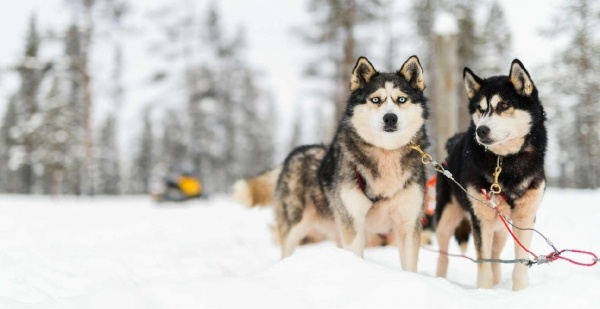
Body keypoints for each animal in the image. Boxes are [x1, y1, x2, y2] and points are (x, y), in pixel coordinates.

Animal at [274, 55, 428, 270]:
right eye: (376, 99)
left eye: (402, 99)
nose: (390, 118)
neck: (386, 154)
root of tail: (298, 151)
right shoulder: (353, 222)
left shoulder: (408, 224)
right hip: (295, 226)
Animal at [434, 59, 548, 290]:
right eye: (480, 109)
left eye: (503, 105)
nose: (481, 130)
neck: (506, 162)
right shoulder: (481, 220)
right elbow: (483, 262)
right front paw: (485, 292)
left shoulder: (525, 217)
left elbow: (519, 262)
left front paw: (519, 292)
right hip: (446, 221)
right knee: (443, 255)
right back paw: (440, 279)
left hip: (501, 228)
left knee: (496, 255)